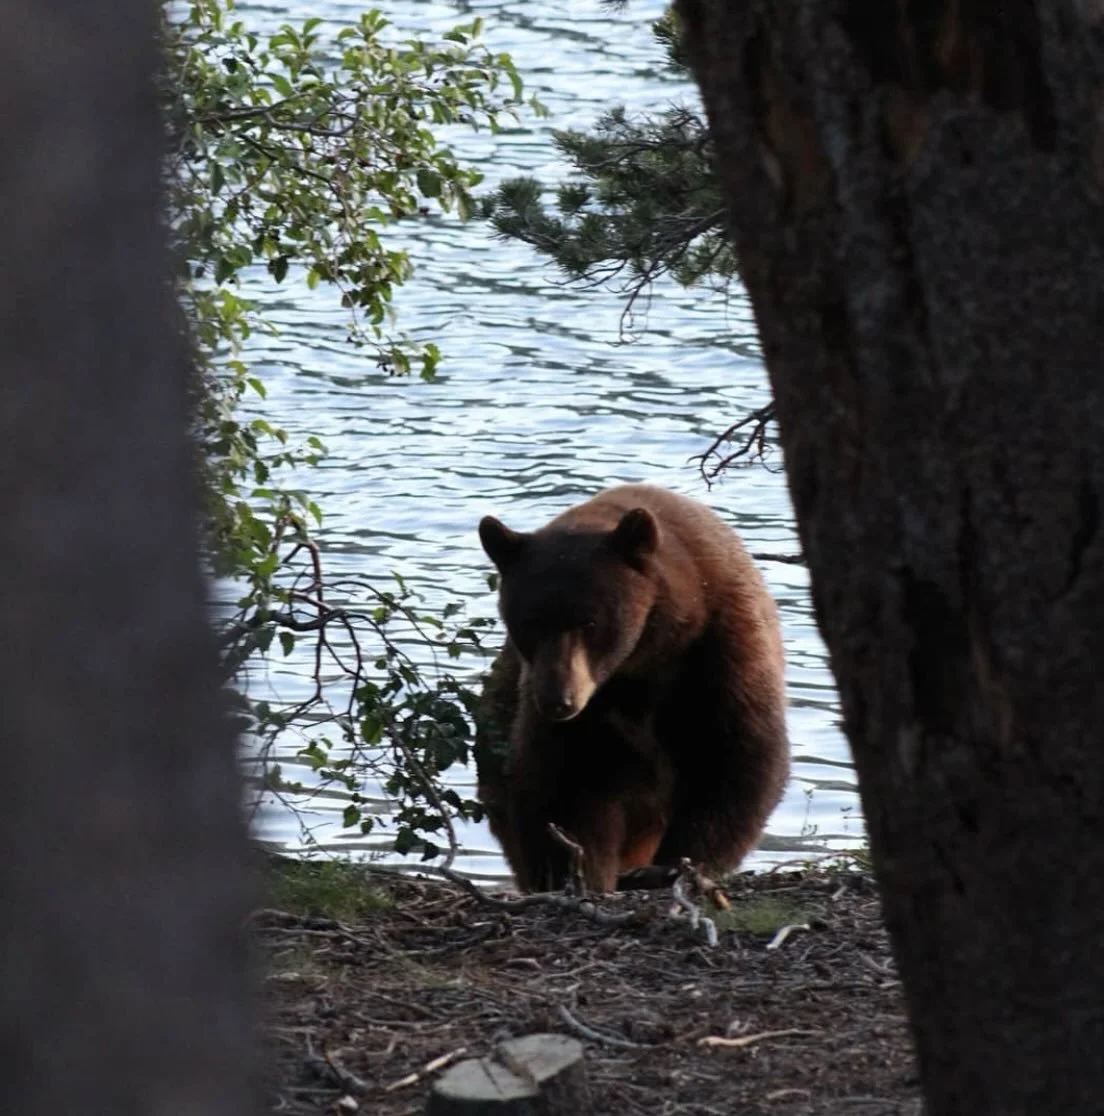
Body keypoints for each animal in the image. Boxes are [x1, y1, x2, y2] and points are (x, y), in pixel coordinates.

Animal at [474, 483, 790, 893]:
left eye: (590, 622)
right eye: (528, 623)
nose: (559, 700)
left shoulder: (721, 650)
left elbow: (738, 758)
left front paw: (673, 866)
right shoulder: (578, 712)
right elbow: (563, 783)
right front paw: (577, 872)